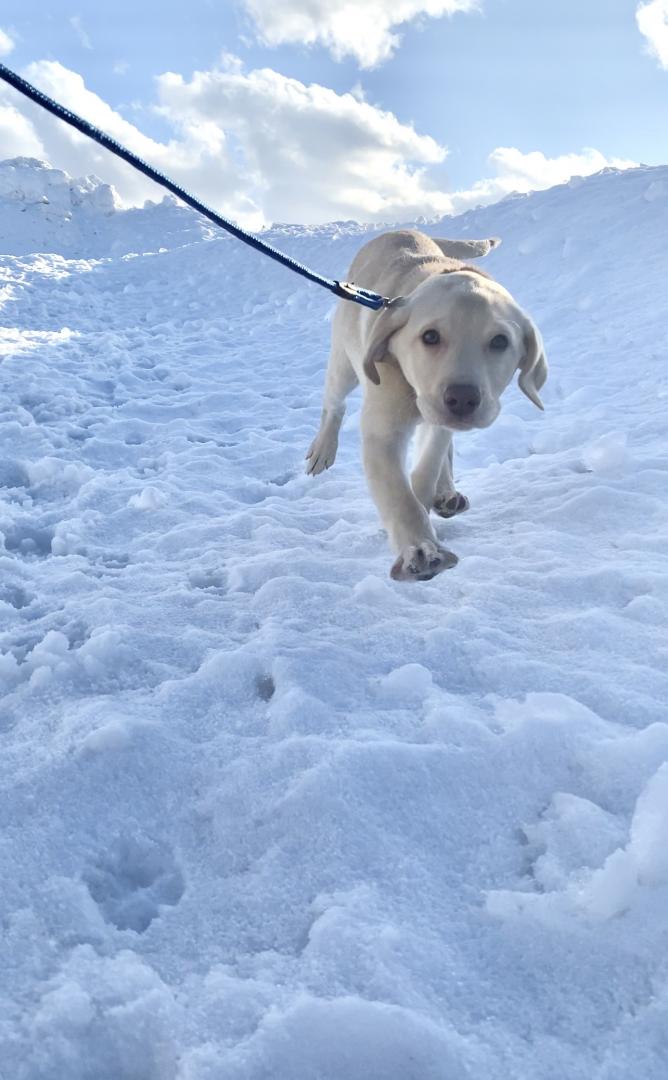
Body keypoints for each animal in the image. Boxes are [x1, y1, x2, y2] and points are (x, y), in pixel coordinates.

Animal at [306, 230, 546, 583]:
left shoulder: (438, 422)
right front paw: (420, 550)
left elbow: (427, 466)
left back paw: (445, 491)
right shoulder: (382, 430)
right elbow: (397, 493)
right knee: (333, 405)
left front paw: (426, 501)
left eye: (500, 341)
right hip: (343, 364)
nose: (462, 398)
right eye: (430, 337)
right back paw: (323, 449)